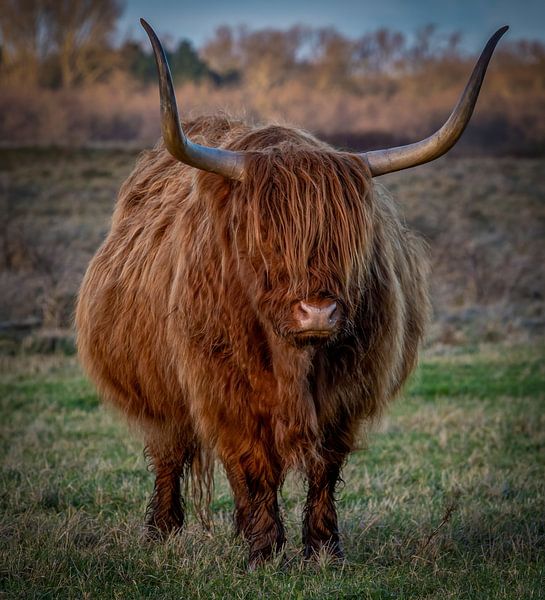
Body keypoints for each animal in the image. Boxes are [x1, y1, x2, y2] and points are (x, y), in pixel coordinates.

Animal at [74, 21, 508, 564]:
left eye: (349, 240)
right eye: (265, 239)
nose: (318, 312)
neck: (293, 360)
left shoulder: (344, 396)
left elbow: (324, 467)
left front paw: (323, 548)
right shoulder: (226, 394)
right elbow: (253, 465)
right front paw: (264, 550)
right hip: (156, 390)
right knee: (168, 452)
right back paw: (162, 529)